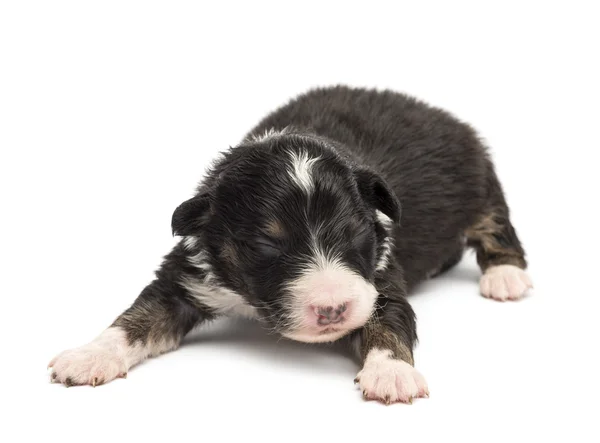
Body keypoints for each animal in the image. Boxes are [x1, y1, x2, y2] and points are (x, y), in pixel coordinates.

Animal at [49, 86, 532, 406]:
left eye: (354, 233)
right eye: (268, 245)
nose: (333, 309)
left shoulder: (379, 278)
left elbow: (389, 322)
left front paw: (391, 372)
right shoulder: (188, 272)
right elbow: (137, 317)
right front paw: (89, 356)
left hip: (481, 177)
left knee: (496, 224)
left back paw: (506, 276)